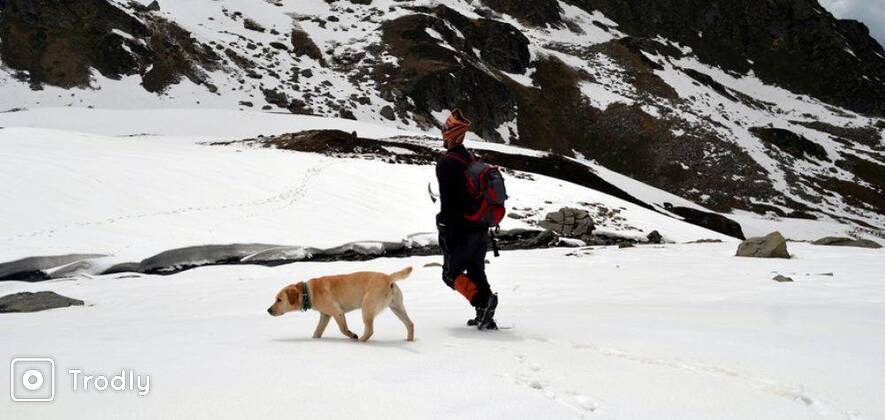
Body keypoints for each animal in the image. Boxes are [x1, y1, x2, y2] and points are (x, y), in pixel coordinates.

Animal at [266, 268, 414, 342]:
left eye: (279, 300)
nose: (268, 310)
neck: (307, 292)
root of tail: (389, 278)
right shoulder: (325, 315)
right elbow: (317, 332)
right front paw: (314, 340)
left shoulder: (337, 312)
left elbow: (343, 329)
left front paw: (352, 335)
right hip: (397, 307)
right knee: (410, 324)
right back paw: (409, 340)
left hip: (367, 308)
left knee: (370, 330)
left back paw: (360, 340)